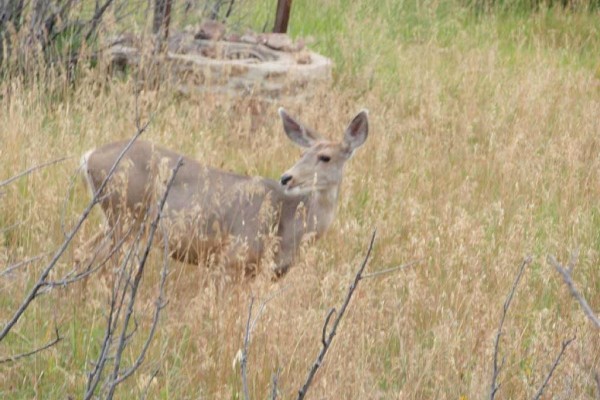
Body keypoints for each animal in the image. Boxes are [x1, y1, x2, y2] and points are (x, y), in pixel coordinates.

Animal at [77, 108, 368, 280]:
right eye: (301, 154)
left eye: (325, 157)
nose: (287, 177)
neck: (288, 228)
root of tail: (89, 156)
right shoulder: (231, 257)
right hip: (124, 215)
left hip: (115, 219)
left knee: (84, 251)